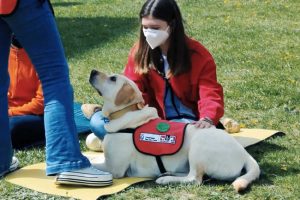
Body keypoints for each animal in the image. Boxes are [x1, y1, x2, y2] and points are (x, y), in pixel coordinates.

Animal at [88, 69, 260, 192]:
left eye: (113, 78)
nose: (93, 71)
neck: (126, 114)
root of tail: (244, 153)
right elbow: (93, 158)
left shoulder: (114, 169)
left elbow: (95, 163)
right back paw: (166, 173)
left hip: (199, 145)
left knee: (195, 179)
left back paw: (165, 179)